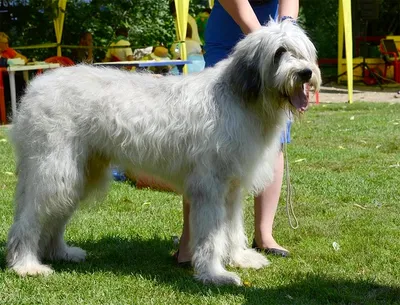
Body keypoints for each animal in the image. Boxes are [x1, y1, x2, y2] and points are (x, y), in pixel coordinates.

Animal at [6, 20, 320, 284]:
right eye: (279, 52)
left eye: (302, 52)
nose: (305, 73)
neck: (241, 96)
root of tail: (35, 88)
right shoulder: (210, 187)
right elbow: (212, 235)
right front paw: (215, 274)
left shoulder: (231, 187)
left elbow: (232, 228)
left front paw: (240, 259)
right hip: (54, 169)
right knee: (30, 218)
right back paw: (26, 265)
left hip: (80, 173)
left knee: (55, 216)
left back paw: (61, 252)